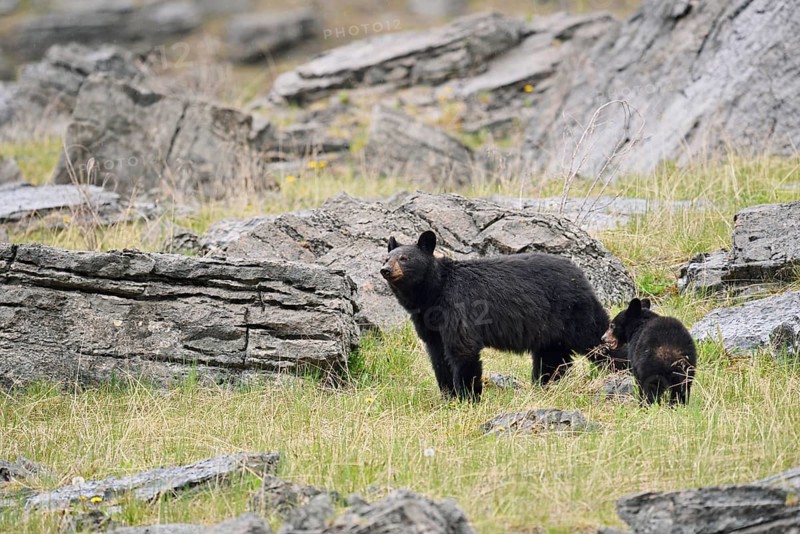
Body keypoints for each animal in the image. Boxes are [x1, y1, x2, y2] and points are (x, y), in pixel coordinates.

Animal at [380, 230, 615, 401]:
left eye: (404, 258)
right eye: (386, 257)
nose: (385, 270)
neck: (433, 292)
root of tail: (580, 273)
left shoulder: (458, 307)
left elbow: (463, 349)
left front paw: (468, 397)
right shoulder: (429, 323)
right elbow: (438, 357)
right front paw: (448, 395)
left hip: (573, 311)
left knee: (597, 337)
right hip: (550, 329)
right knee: (551, 358)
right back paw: (545, 386)